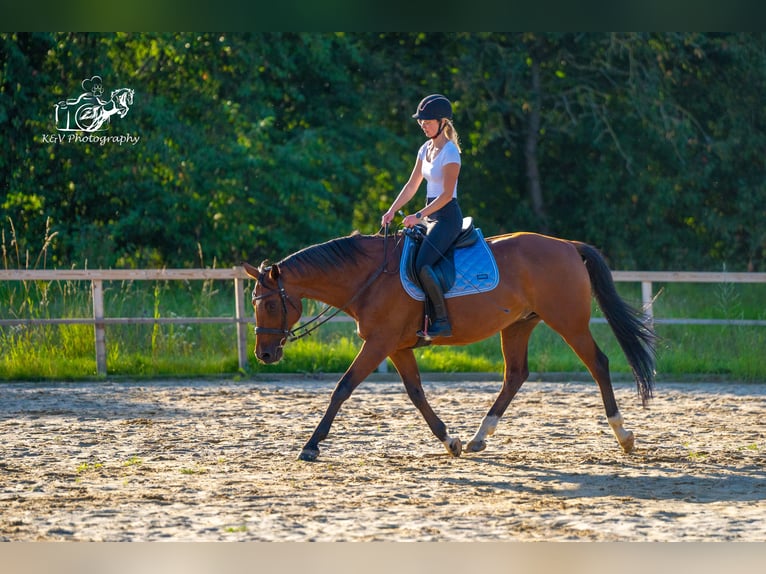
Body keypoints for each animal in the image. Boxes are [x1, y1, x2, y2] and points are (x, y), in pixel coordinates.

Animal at [243, 231, 656, 464]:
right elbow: (416, 393)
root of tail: (568, 246)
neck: (369, 277)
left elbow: (342, 388)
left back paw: (623, 436)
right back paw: (478, 438)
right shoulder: (396, 347)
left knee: (598, 364)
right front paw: (449, 440)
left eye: (270, 304)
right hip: (519, 325)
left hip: (568, 321)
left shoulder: (379, 343)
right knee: (515, 375)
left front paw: (311, 445)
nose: (264, 354)